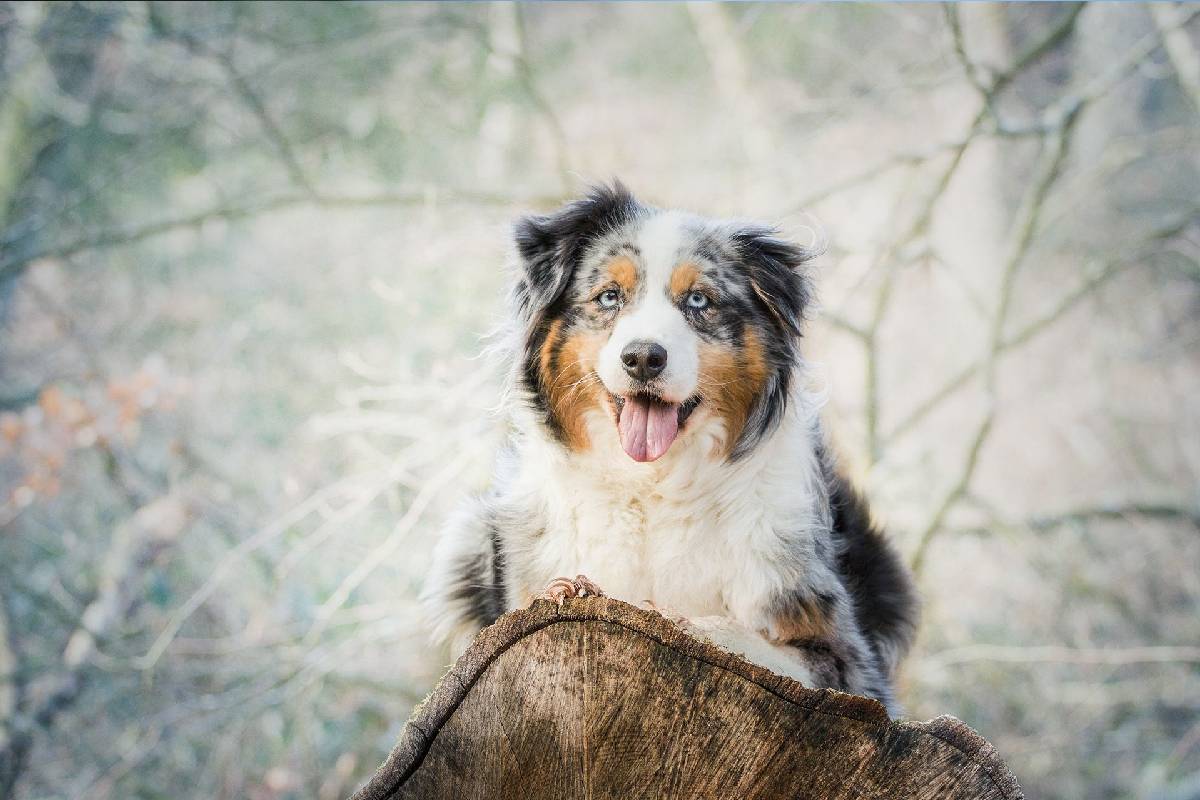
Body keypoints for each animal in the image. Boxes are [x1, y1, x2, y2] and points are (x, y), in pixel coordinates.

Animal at [422, 184, 916, 714]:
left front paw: (685, 621)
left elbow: (750, 640)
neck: (652, 486)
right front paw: (570, 589)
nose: (642, 357)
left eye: (698, 299)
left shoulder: (850, 664)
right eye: (610, 296)